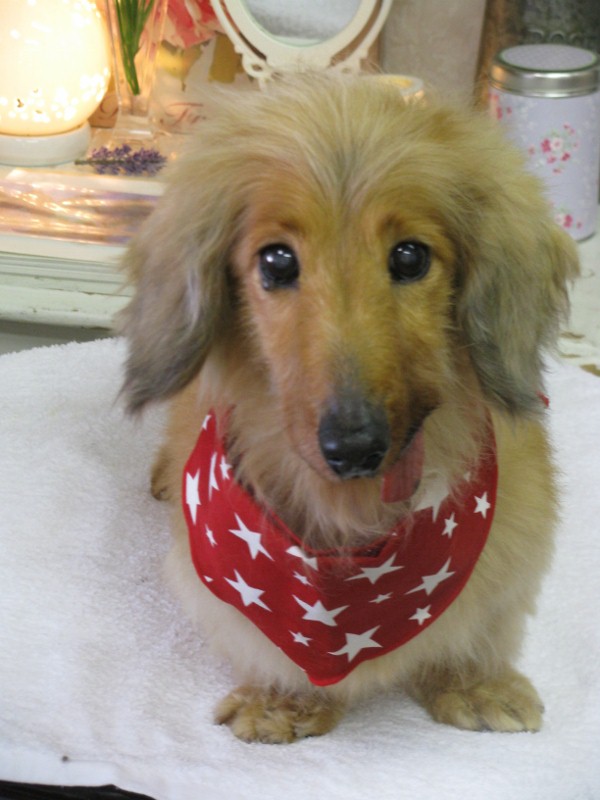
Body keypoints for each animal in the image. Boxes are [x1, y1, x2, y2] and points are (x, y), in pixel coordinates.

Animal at [119, 75, 578, 743]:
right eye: (276, 260)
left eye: (410, 257)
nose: (355, 447)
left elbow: (483, 620)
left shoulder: (516, 543)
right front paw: (283, 700)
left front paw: (473, 680)